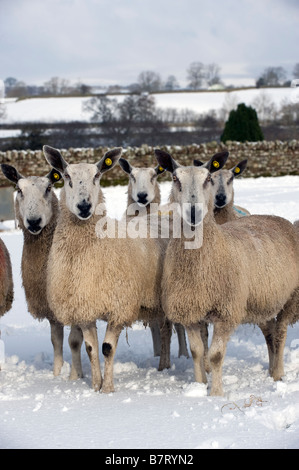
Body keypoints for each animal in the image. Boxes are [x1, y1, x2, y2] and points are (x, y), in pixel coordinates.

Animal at [0, 165, 84, 378]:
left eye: (48, 188)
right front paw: (56, 375)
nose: (34, 221)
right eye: (19, 190)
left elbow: (74, 341)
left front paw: (75, 377)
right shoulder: (50, 308)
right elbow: (56, 341)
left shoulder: (75, 302)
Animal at [43, 146, 172, 392]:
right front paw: (95, 387)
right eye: (66, 176)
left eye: (97, 176)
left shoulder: (119, 307)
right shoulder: (84, 307)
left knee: (168, 331)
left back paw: (167, 366)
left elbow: (107, 349)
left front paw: (108, 389)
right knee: (165, 330)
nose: (84, 206)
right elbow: (91, 349)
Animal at [118, 156, 189, 358]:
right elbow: (153, 325)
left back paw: (184, 354)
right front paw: (157, 353)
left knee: (179, 324)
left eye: (154, 176)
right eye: (132, 176)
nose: (142, 196)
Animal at [155, 149, 299, 394]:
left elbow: (215, 355)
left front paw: (216, 393)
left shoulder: (227, 310)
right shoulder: (189, 309)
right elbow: (197, 351)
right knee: (270, 332)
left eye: (207, 179)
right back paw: (271, 369)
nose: (193, 213)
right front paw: (199, 386)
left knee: (280, 333)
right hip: (259, 300)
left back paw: (278, 374)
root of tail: (276, 218)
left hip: (290, 297)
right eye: (175, 178)